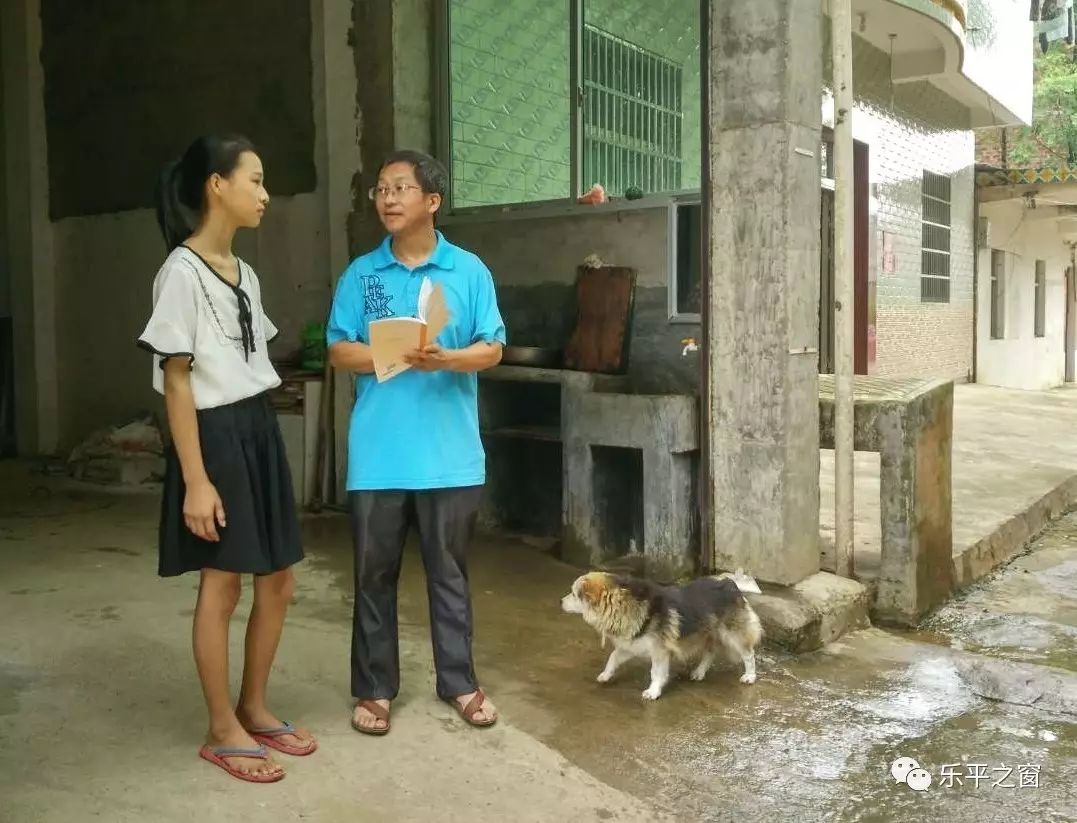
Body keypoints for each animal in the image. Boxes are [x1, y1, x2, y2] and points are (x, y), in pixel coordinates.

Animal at [560, 573, 762, 702]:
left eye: (573, 594)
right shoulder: (633, 644)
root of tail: (730, 583)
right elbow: (613, 656)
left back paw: (750, 676)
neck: (621, 604)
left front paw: (653, 691)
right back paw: (699, 672)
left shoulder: (660, 650)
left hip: (733, 634)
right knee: (710, 652)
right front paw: (606, 674)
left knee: (748, 654)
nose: (560, 601)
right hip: (706, 633)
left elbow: (656, 672)